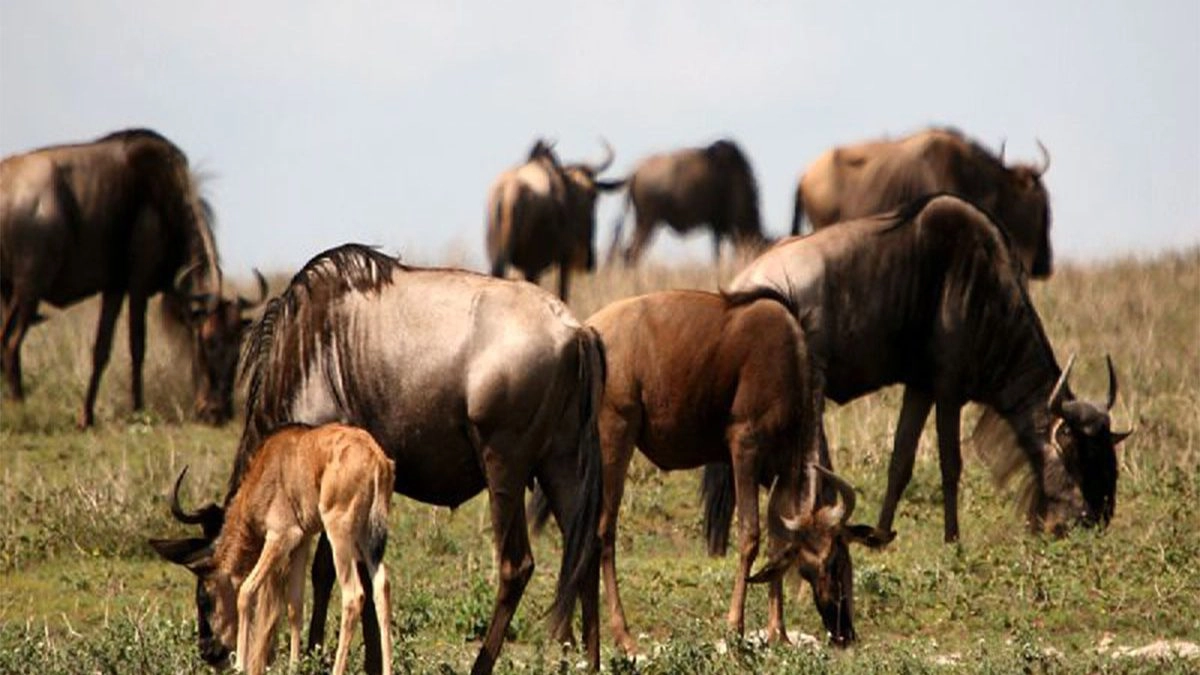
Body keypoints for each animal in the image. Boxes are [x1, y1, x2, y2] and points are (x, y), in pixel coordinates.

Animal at [149, 420, 393, 672]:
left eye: (204, 598)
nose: (207, 652)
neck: (270, 462)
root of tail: (376, 459)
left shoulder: (280, 537)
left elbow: (246, 591)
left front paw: (241, 666)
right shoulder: (302, 541)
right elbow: (295, 604)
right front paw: (294, 666)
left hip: (340, 536)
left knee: (353, 595)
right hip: (368, 538)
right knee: (382, 587)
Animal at [568, 289, 892, 653]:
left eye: (839, 560)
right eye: (821, 566)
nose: (842, 633)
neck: (790, 361)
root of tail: (587, 332)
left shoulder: (781, 471)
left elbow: (777, 544)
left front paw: (778, 632)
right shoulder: (744, 449)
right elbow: (750, 536)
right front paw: (735, 628)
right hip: (616, 439)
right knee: (603, 531)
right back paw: (623, 636)